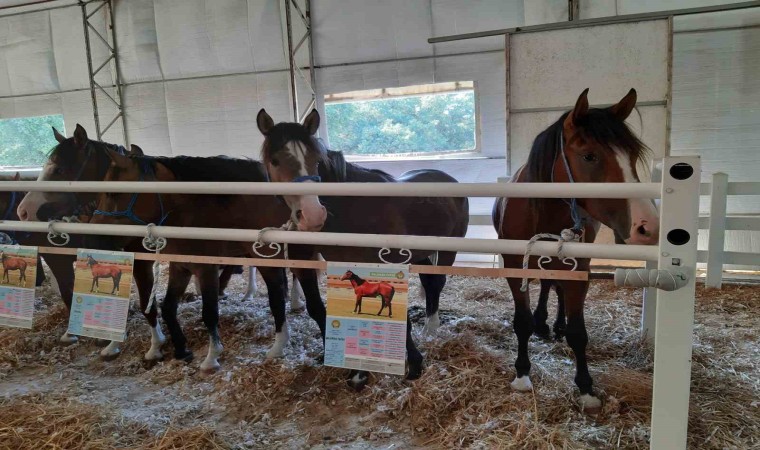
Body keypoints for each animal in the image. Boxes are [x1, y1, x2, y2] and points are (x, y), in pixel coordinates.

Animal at [84, 151, 325, 373]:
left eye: (113, 193)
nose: (91, 238)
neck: (191, 214)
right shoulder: (181, 267)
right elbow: (168, 307)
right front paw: (181, 349)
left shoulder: (205, 269)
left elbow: (209, 313)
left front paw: (211, 358)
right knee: (277, 297)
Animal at [256, 108, 470, 389]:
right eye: (275, 160)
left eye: (316, 160)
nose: (313, 215)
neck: (350, 208)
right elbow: (319, 309)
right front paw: (344, 364)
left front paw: (411, 365)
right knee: (430, 283)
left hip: (447, 252)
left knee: (437, 283)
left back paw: (431, 328)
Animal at [493, 88, 659, 412]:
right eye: (589, 156)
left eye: (632, 157)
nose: (647, 226)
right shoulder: (515, 264)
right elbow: (522, 322)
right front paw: (522, 373)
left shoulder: (579, 267)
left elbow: (578, 332)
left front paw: (585, 388)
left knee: (555, 288)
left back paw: (554, 324)